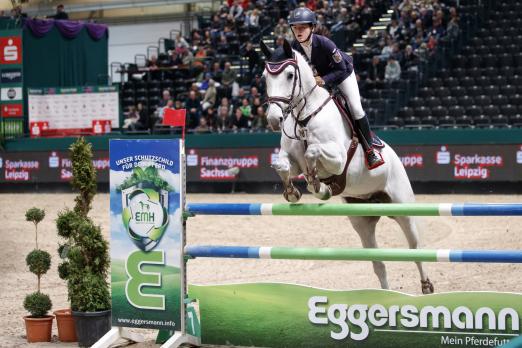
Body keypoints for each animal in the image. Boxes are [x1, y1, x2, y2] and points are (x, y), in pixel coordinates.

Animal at [262, 40, 432, 294]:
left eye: (290, 75)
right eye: (265, 77)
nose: (274, 120)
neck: (305, 117)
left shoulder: (339, 158)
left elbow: (313, 153)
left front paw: (318, 186)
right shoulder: (293, 161)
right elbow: (282, 164)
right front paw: (293, 192)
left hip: (403, 207)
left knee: (415, 247)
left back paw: (427, 286)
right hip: (362, 219)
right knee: (378, 262)